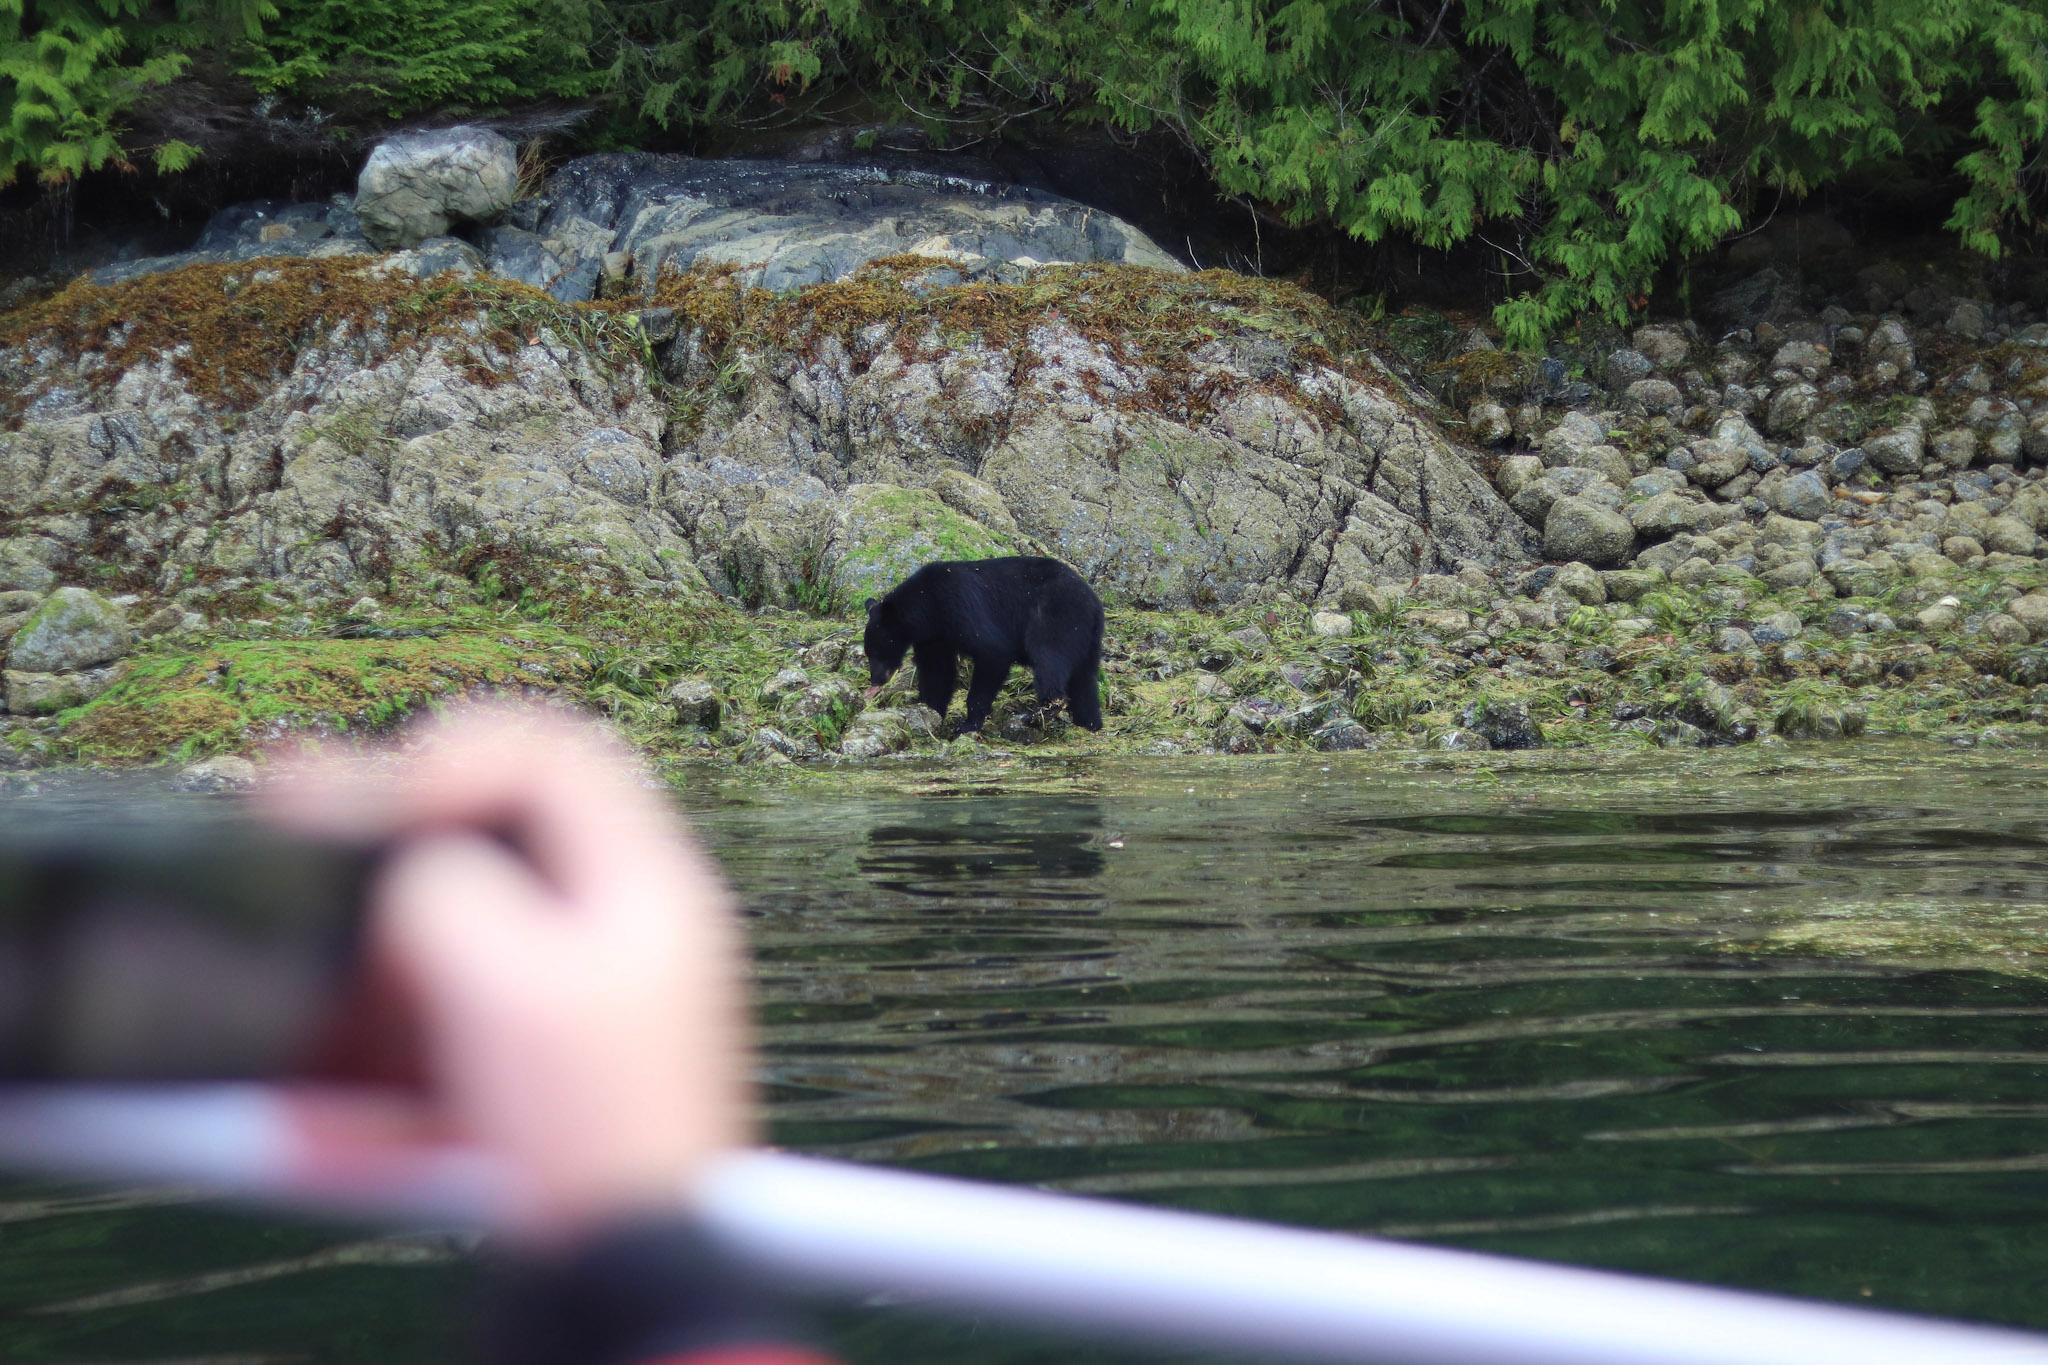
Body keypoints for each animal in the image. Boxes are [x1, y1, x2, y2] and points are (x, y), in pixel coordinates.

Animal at [863, 556, 1104, 734]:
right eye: (868, 653)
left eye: (877, 650)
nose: (875, 680)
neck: (928, 606)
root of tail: (1094, 601)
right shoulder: (934, 637)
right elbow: (937, 671)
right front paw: (930, 712)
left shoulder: (961, 606)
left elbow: (993, 651)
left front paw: (967, 724)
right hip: (1087, 638)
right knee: (1084, 679)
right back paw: (1089, 722)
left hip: (1055, 615)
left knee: (1048, 658)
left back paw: (1040, 713)